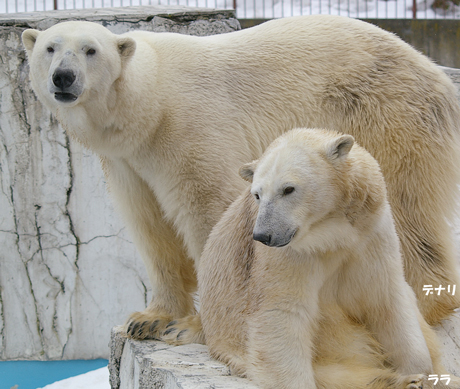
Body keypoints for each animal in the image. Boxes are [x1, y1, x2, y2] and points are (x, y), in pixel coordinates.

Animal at [21, 14, 460, 340]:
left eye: (90, 50)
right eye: (50, 48)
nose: (63, 77)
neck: (147, 106)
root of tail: (434, 70)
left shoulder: (188, 130)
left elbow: (208, 209)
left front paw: (197, 326)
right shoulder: (127, 162)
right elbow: (151, 227)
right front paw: (149, 319)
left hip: (385, 117)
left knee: (406, 209)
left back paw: (420, 304)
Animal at [199, 128, 458, 388]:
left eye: (288, 189)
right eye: (257, 194)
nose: (263, 235)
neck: (330, 235)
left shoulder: (370, 232)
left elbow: (386, 297)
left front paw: (419, 373)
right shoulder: (289, 255)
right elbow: (282, 313)